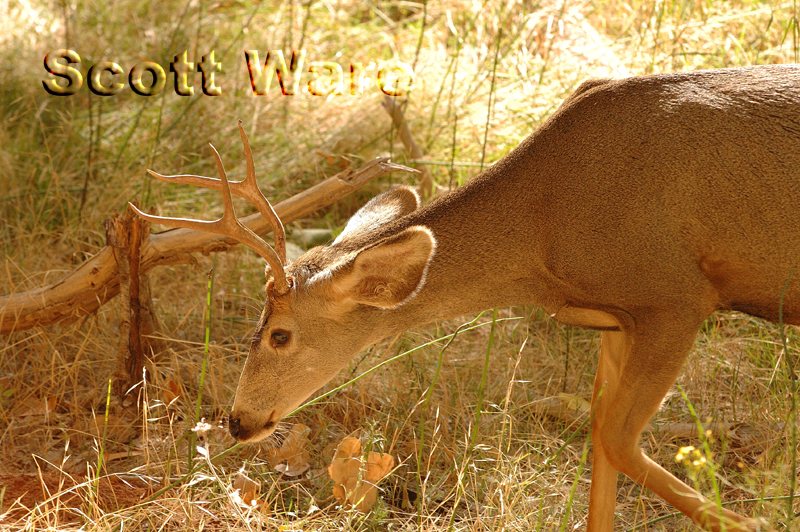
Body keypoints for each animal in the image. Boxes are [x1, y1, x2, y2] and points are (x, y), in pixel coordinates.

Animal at [130, 64, 800, 531]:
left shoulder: (676, 294)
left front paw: (752, 519)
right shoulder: (617, 318)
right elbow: (601, 452)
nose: (238, 421)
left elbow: (614, 438)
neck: (542, 228)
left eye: (279, 334)